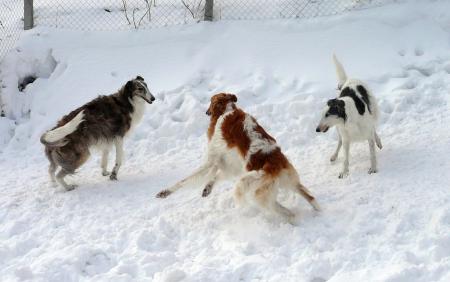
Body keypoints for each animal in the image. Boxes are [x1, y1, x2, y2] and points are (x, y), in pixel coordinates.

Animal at [158, 93, 320, 223]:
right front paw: (207, 188)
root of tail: (274, 165)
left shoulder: (212, 159)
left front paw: (165, 192)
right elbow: (215, 176)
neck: (228, 110)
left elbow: (185, 180)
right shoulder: (231, 166)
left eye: (210, 102)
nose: (206, 112)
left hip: (258, 193)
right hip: (289, 183)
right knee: (310, 199)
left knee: (288, 213)